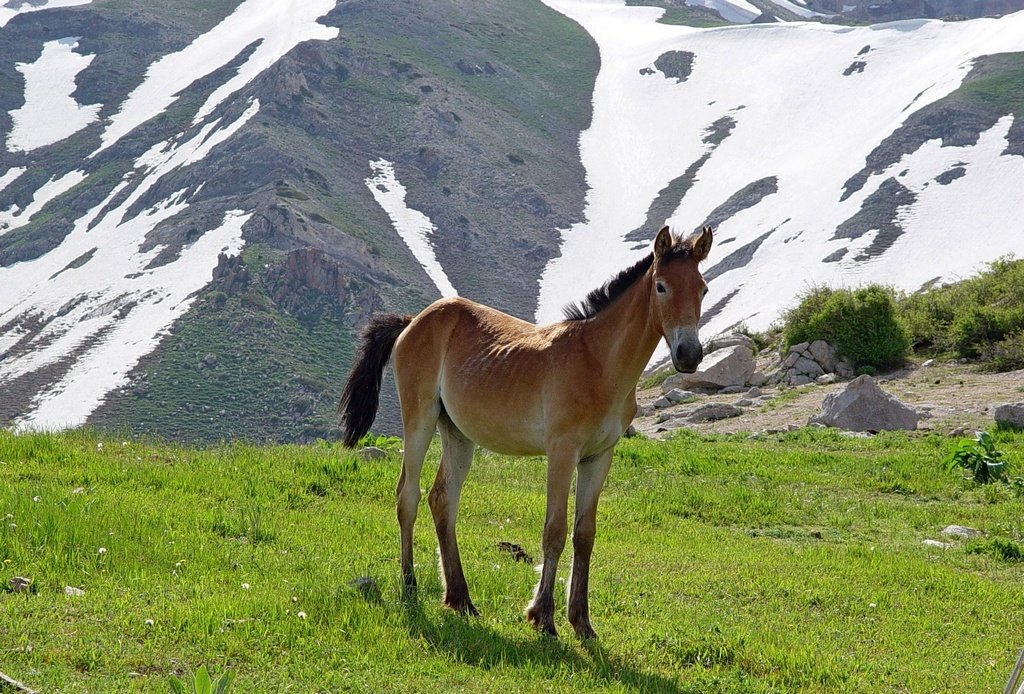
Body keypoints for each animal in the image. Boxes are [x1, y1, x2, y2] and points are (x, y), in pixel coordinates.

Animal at [337, 225, 712, 638]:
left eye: (703, 288)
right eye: (661, 286)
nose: (689, 355)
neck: (597, 361)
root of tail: (412, 320)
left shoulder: (600, 457)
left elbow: (584, 535)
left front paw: (582, 621)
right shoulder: (562, 452)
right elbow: (555, 531)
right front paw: (543, 616)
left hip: (458, 434)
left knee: (442, 499)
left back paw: (461, 598)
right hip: (419, 419)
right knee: (408, 496)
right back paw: (410, 585)